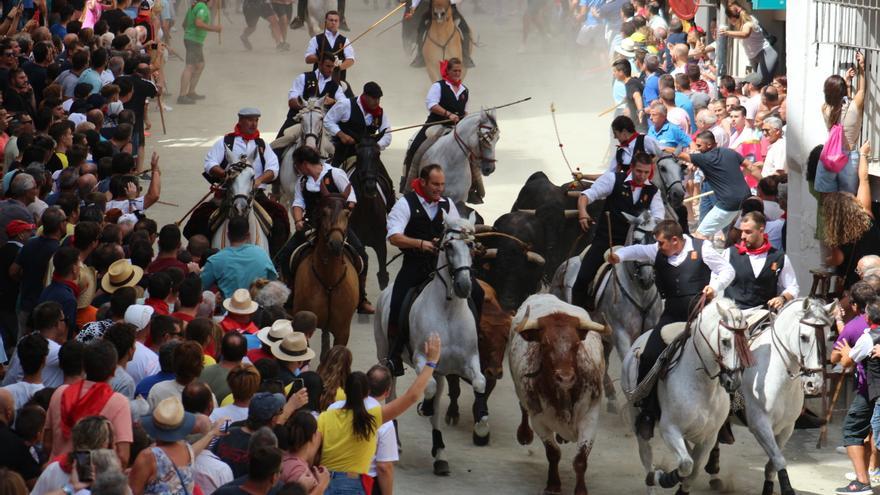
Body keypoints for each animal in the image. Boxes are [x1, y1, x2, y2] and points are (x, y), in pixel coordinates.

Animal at [290, 186, 356, 356]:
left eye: (347, 213)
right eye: (324, 212)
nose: (335, 244)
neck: (329, 280)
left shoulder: (343, 332)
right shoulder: (303, 323)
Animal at [372, 217, 488, 476]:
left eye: (471, 245)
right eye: (448, 246)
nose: (464, 286)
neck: (449, 309)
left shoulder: (470, 360)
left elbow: (479, 383)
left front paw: (482, 426)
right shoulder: (421, 359)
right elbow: (430, 390)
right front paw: (423, 406)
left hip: (442, 370)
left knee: (436, 409)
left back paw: (440, 453)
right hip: (385, 355)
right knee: (393, 394)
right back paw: (397, 441)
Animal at [506, 294, 608, 495]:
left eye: (576, 344)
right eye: (545, 344)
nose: (565, 377)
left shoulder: (590, 417)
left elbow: (580, 460)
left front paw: (580, 490)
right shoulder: (539, 420)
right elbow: (553, 454)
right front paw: (553, 485)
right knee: (522, 407)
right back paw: (524, 435)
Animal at [624, 298, 744, 495]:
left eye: (746, 341)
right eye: (725, 341)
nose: (733, 381)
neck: (703, 387)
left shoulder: (709, 437)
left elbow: (694, 469)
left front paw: (683, 488)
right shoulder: (670, 429)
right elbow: (687, 464)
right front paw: (662, 477)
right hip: (637, 416)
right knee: (646, 453)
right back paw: (651, 479)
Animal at [736, 298, 832, 495]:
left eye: (827, 336)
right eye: (804, 337)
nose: (814, 384)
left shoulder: (786, 427)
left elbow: (773, 463)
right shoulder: (759, 424)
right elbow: (779, 460)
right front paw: (787, 489)